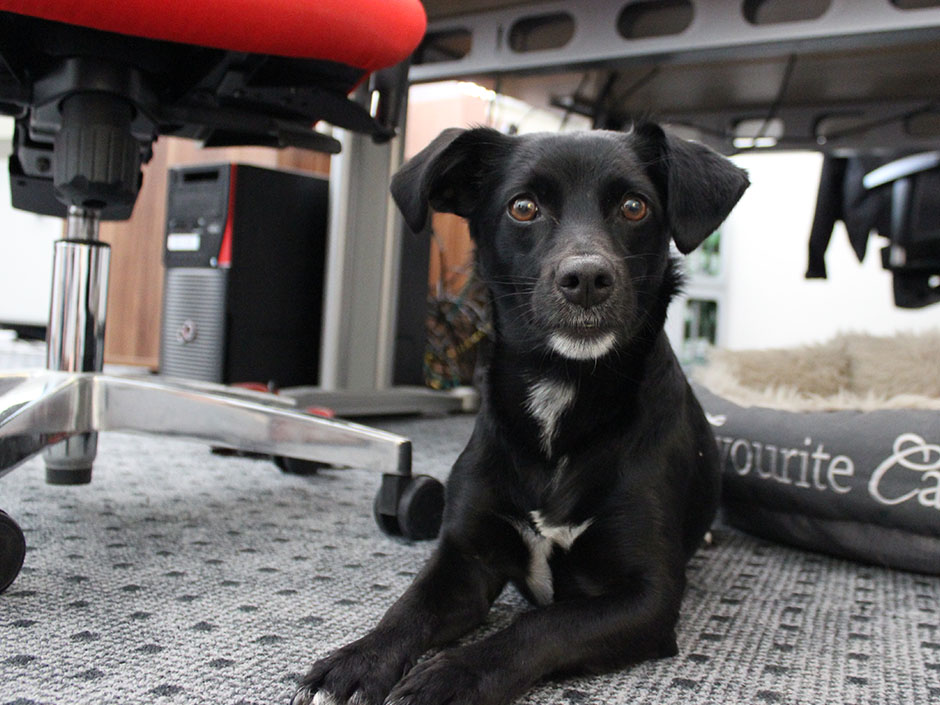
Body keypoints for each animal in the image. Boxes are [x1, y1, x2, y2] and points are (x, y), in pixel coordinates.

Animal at [294, 124, 748, 704]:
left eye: (634, 206)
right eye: (524, 207)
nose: (586, 278)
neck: (560, 389)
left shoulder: (648, 597)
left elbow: (540, 625)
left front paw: (451, 676)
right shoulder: (465, 561)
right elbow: (407, 608)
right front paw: (356, 663)